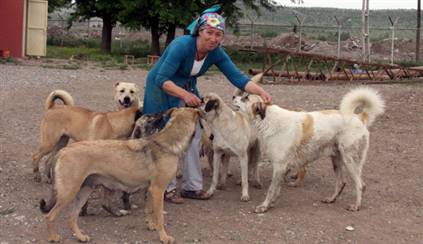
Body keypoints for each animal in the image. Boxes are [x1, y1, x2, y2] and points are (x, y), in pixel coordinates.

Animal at [38, 107, 202, 243]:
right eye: (151, 118)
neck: (168, 142)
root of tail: (63, 151)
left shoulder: (151, 189)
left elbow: (149, 211)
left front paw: (150, 225)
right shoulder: (158, 189)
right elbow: (160, 217)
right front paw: (164, 237)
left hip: (84, 191)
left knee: (71, 218)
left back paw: (81, 237)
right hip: (69, 192)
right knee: (50, 216)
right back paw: (53, 237)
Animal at [237, 86, 386, 213]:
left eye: (246, 98)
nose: (233, 96)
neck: (268, 119)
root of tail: (359, 117)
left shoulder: (279, 166)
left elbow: (271, 189)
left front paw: (264, 206)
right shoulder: (282, 167)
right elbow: (277, 189)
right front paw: (271, 203)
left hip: (350, 160)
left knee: (361, 185)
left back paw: (356, 206)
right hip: (336, 160)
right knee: (341, 182)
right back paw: (331, 199)